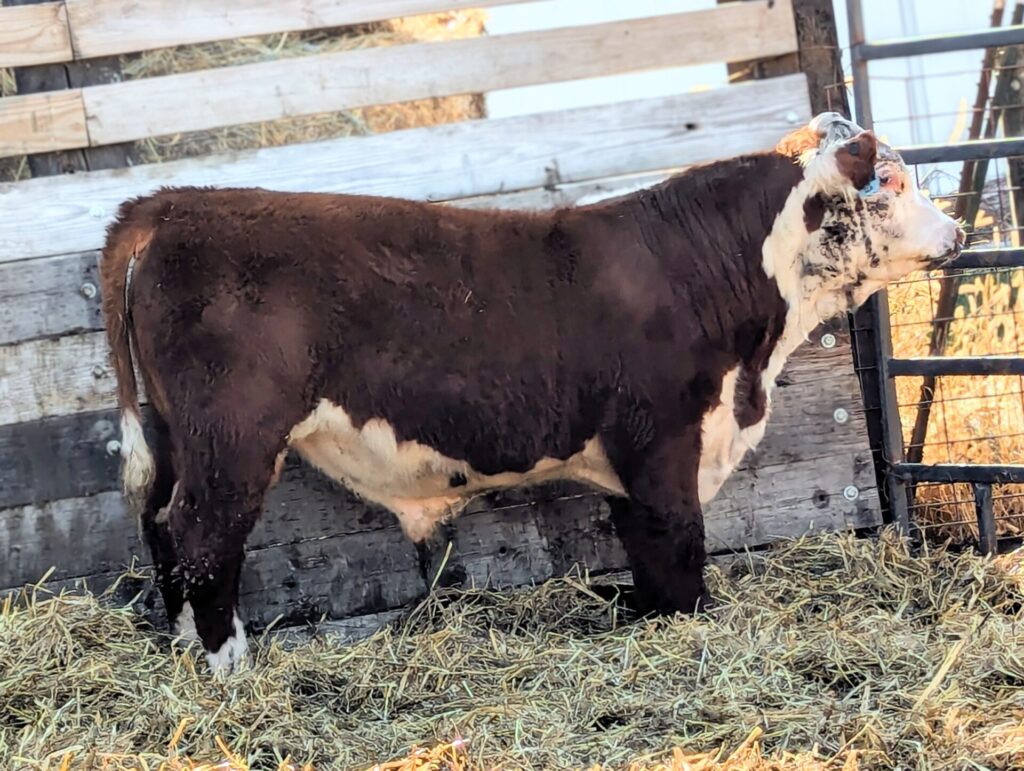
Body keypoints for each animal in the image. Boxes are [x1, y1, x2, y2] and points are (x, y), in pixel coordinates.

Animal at [99, 112, 964, 673]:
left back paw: (186, 646)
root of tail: (173, 203)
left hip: (175, 436)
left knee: (163, 525)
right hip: (234, 436)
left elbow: (645, 546)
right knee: (203, 533)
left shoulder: (632, 461)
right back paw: (228, 664)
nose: (957, 232)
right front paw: (691, 621)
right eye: (890, 180)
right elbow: (679, 542)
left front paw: (651, 617)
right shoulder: (663, 439)